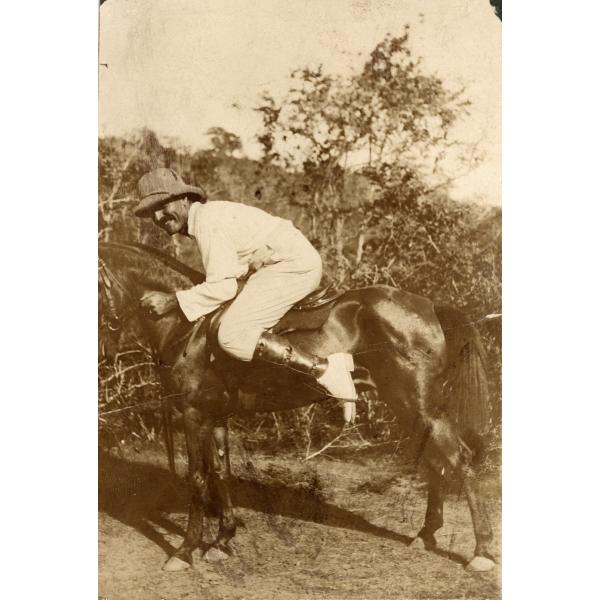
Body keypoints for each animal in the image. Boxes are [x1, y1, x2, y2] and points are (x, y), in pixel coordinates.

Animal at [99, 241, 496, 576]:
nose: (104, 354)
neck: (187, 324)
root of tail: (431, 307)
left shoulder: (193, 415)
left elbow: (197, 479)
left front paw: (185, 551)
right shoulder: (216, 417)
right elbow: (221, 474)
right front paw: (222, 540)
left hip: (418, 406)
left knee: (459, 460)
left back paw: (482, 552)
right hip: (411, 409)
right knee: (436, 463)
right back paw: (426, 535)